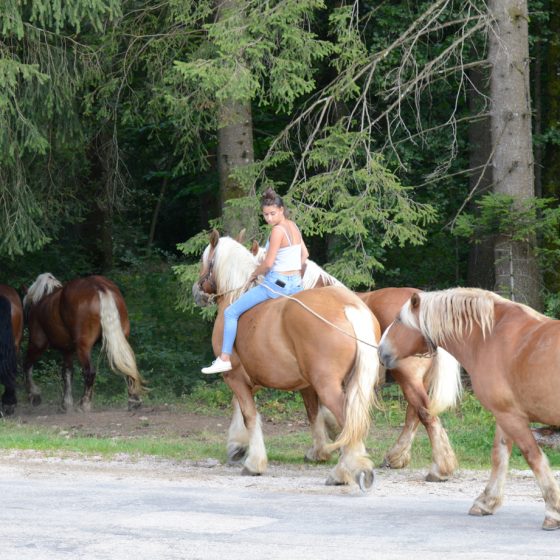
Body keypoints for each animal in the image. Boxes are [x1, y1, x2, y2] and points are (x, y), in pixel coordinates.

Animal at [22, 274, 145, 412]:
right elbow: (67, 372)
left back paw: (84, 403)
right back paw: (134, 401)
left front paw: (34, 394)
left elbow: (27, 365)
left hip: (82, 346)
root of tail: (98, 286)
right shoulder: (67, 350)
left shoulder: (38, 343)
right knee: (127, 365)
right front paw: (66, 403)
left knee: (89, 371)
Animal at [192, 230, 380, 488]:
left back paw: (343, 471)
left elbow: (249, 414)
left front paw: (253, 461)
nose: (196, 290)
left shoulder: (235, 376)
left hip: (328, 386)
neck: (236, 295)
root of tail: (348, 307)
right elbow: (310, 414)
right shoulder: (271, 379)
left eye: (205, 260)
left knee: (349, 421)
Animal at [252, 244, 462, 482]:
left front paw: (321, 449)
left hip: (408, 377)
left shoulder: (311, 381)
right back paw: (398, 456)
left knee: (423, 414)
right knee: (415, 414)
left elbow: (314, 412)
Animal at [378, 288, 560, 528]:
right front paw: (487, 501)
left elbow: (533, 457)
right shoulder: (504, 414)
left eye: (399, 319)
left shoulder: (511, 417)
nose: (381, 351)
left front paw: (553, 511)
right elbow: (499, 455)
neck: (491, 337)